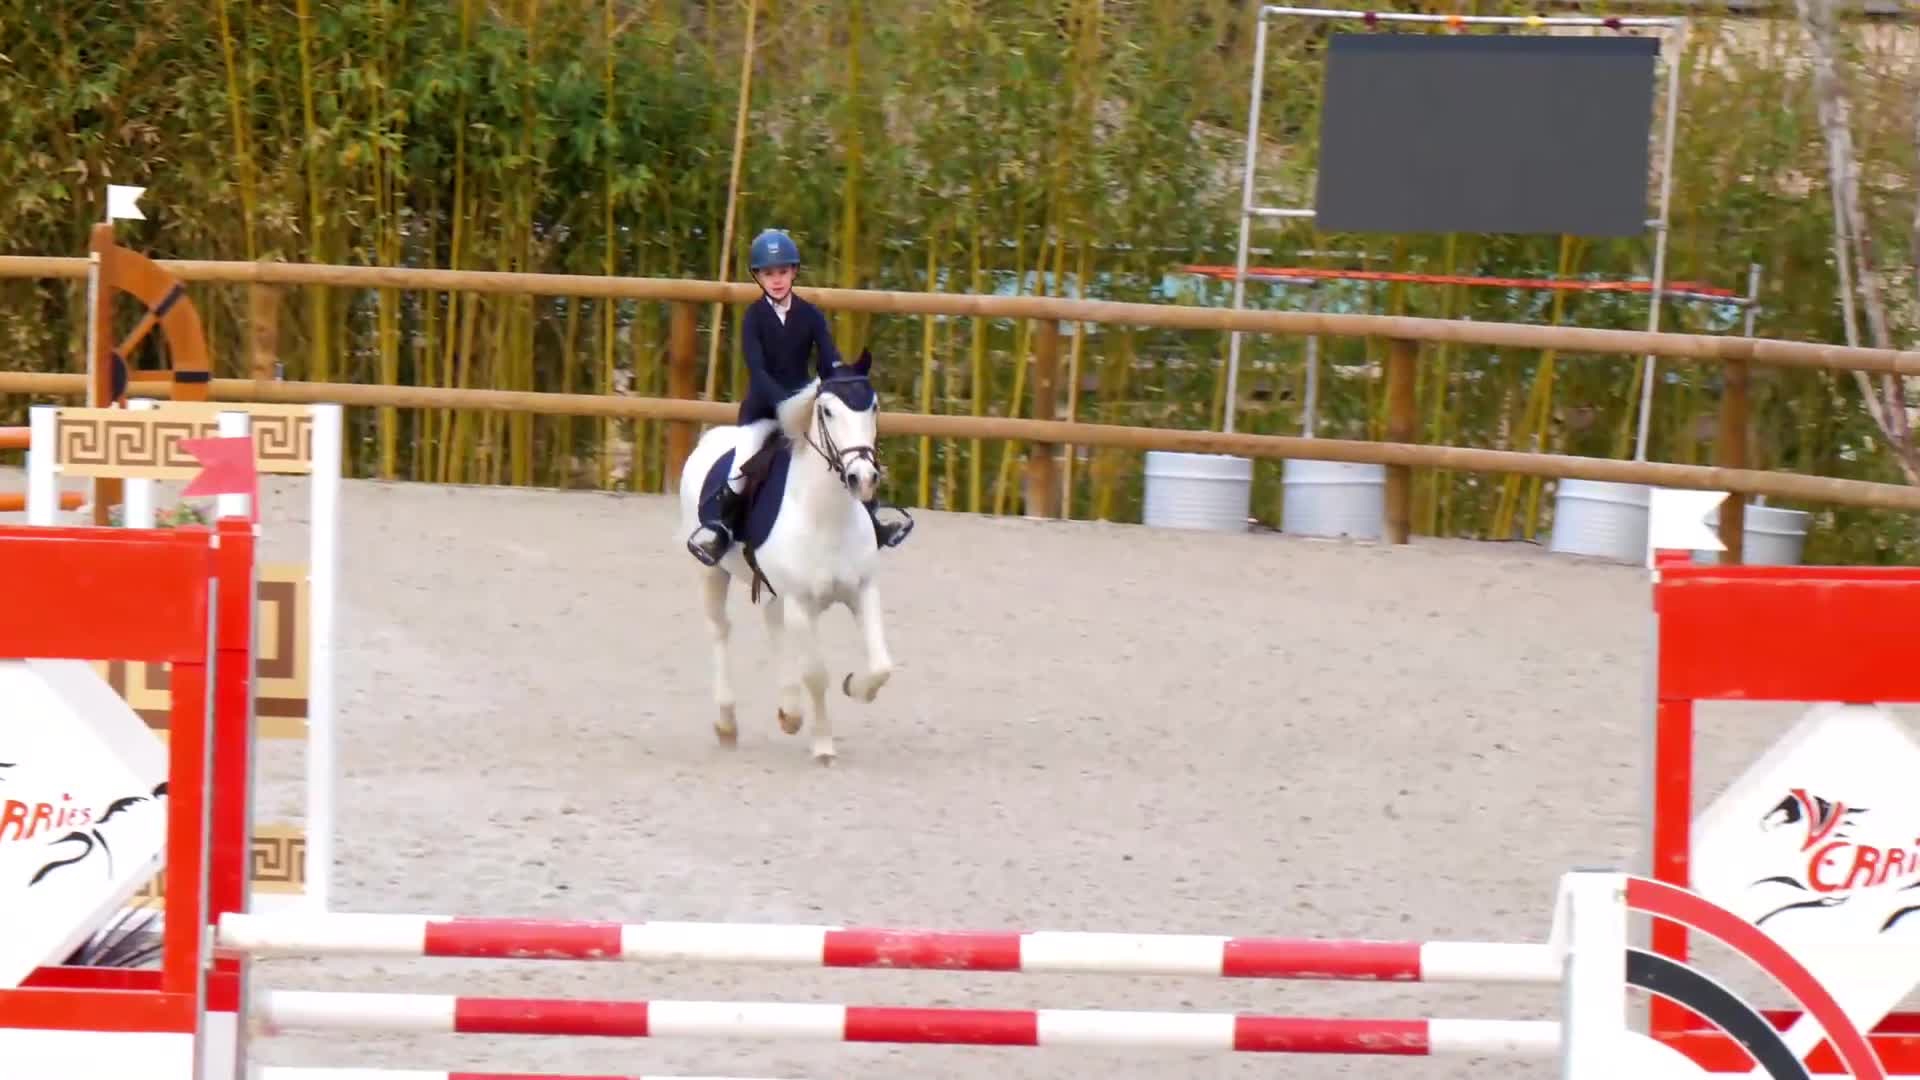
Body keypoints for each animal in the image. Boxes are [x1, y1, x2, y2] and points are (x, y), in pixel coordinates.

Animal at [673, 349, 900, 765]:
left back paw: (789, 710)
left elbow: (881, 665)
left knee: (771, 624)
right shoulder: (800, 602)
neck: (826, 515)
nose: (862, 477)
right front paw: (824, 746)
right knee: (720, 630)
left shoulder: (863, 590)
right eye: (827, 411)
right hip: (712, 572)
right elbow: (817, 674)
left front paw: (855, 687)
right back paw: (727, 723)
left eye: (874, 406)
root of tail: (711, 438)